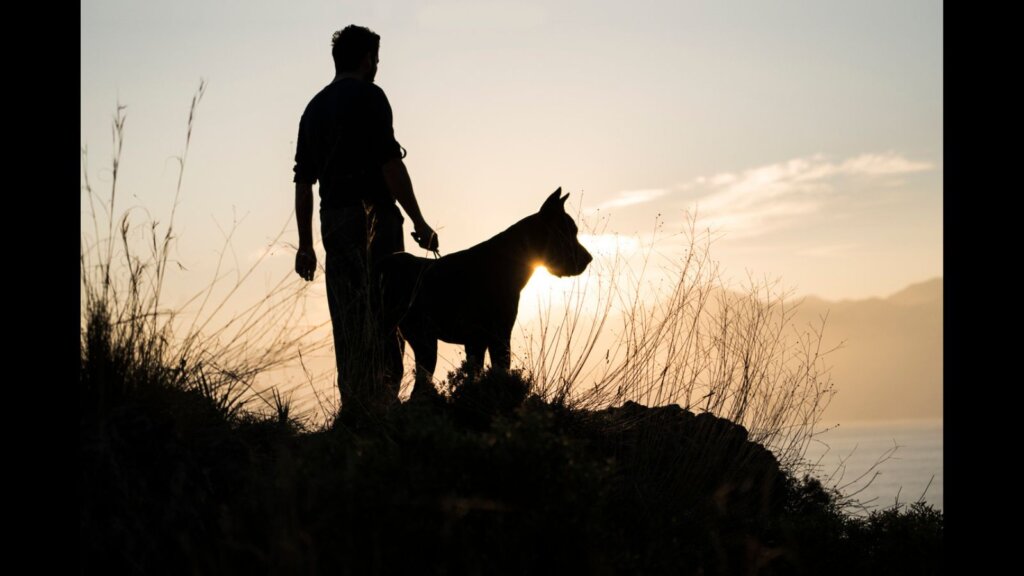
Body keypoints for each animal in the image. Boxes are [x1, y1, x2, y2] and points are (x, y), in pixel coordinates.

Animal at [382, 188, 593, 399]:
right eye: (567, 232)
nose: (589, 259)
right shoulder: (498, 336)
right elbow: (499, 374)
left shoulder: (477, 342)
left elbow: (474, 377)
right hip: (424, 341)